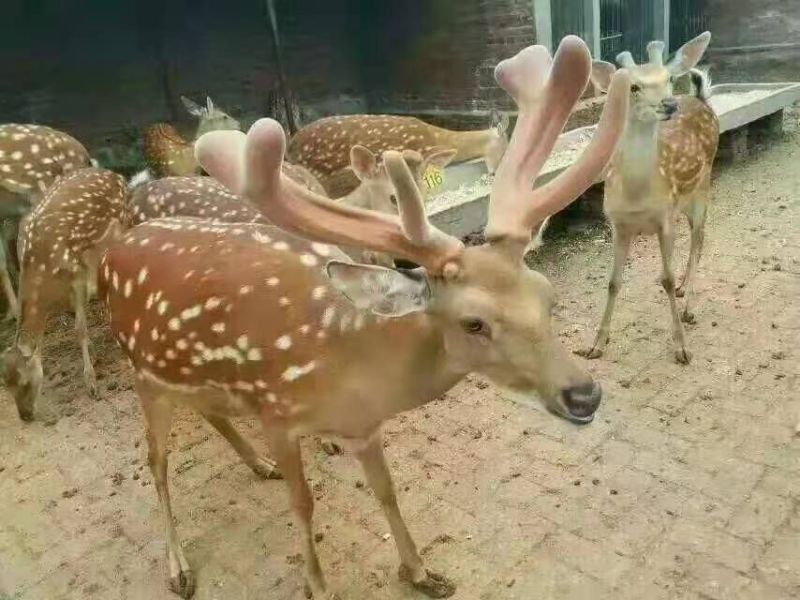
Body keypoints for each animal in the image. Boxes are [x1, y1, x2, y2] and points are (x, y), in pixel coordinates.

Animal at [3, 167, 126, 420]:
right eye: (7, 387)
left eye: (24, 383)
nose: (25, 416)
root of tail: (115, 175)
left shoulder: (76, 274)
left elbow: (80, 327)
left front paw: (92, 384)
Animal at [579, 31, 719, 365]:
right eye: (633, 86)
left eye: (669, 78)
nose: (669, 103)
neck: (636, 195)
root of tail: (700, 98)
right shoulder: (618, 225)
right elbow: (613, 282)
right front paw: (596, 344)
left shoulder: (663, 220)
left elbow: (665, 278)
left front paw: (682, 348)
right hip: (683, 203)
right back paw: (683, 289)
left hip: (703, 187)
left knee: (699, 239)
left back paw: (688, 306)